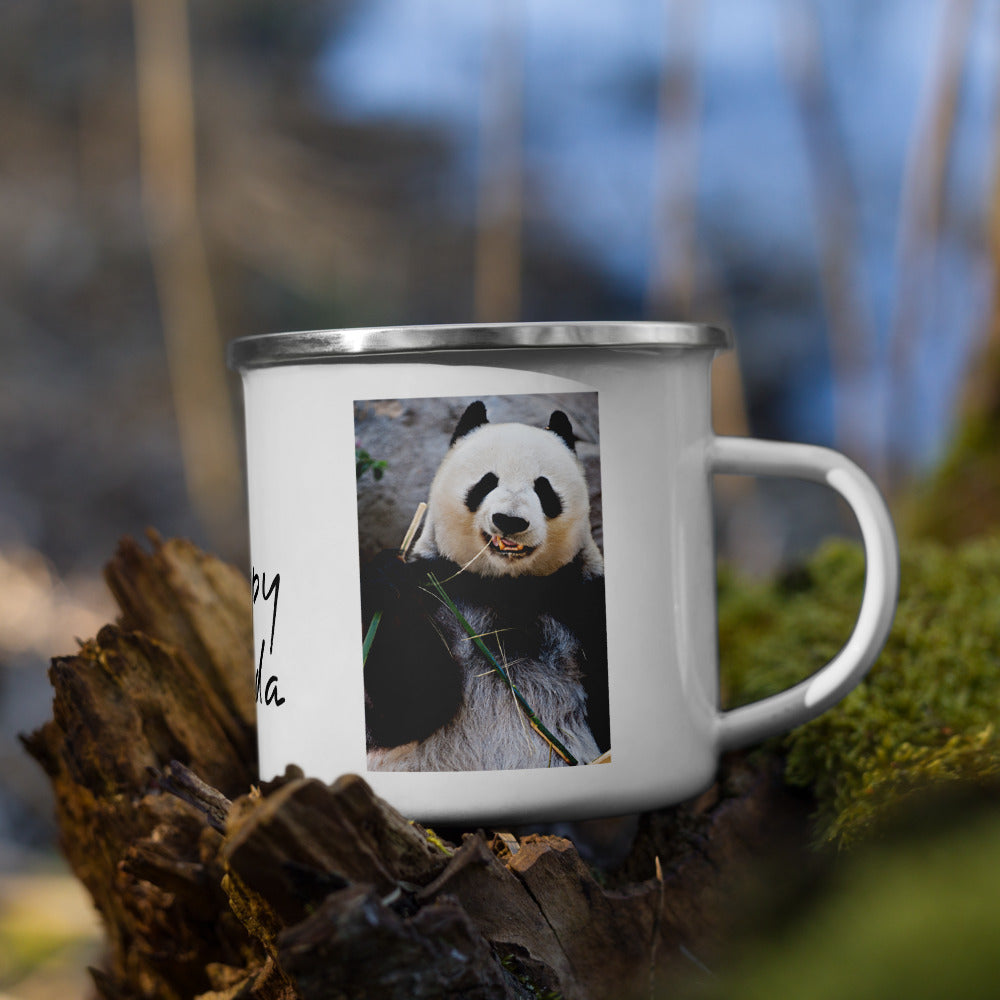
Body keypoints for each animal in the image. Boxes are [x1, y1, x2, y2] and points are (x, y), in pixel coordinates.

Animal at [360, 400, 609, 772]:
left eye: (543, 489)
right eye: (486, 483)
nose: (510, 520)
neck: (504, 587)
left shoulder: (583, 598)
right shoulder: (437, 589)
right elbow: (409, 706)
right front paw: (388, 582)